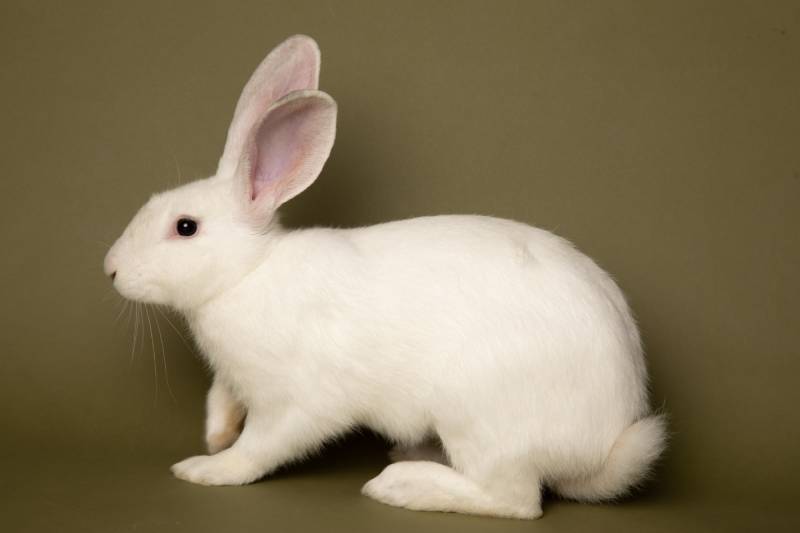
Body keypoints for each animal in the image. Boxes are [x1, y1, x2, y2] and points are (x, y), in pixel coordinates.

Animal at [103, 35, 666, 520]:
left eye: (185, 227)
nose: (110, 269)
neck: (249, 272)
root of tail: (604, 443)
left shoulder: (296, 402)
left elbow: (261, 447)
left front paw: (208, 467)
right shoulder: (234, 380)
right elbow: (221, 398)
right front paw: (215, 435)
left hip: (480, 417)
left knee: (513, 498)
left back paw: (400, 485)